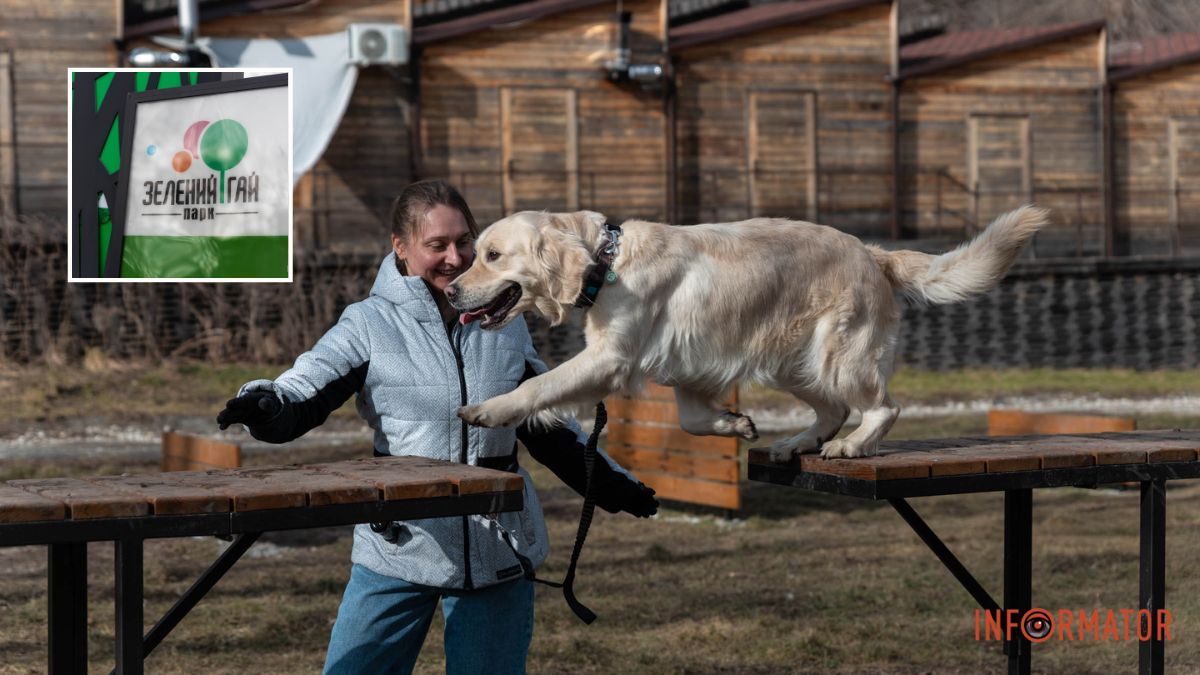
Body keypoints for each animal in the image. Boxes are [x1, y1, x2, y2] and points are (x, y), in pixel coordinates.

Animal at [446, 205, 1046, 456]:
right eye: (474, 254)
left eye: (492, 255)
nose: (450, 292)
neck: (606, 261)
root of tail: (873, 252)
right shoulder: (686, 366)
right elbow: (690, 421)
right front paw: (734, 426)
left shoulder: (611, 359)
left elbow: (537, 386)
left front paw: (487, 410)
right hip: (794, 365)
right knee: (834, 409)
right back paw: (798, 442)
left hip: (838, 356)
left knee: (881, 408)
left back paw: (850, 447)